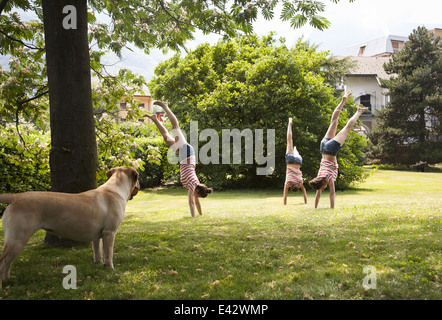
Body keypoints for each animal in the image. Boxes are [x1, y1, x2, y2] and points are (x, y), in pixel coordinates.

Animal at [0, 166, 140, 288]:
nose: (139, 185)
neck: (114, 189)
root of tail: (17, 196)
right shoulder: (109, 233)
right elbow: (108, 254)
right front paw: (110, 269)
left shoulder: (98, 236)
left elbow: (97, 252)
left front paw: (98, 264)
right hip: (18, 239)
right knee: (3, 263)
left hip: (15, 240)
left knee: (7, 264)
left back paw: (8, 280)